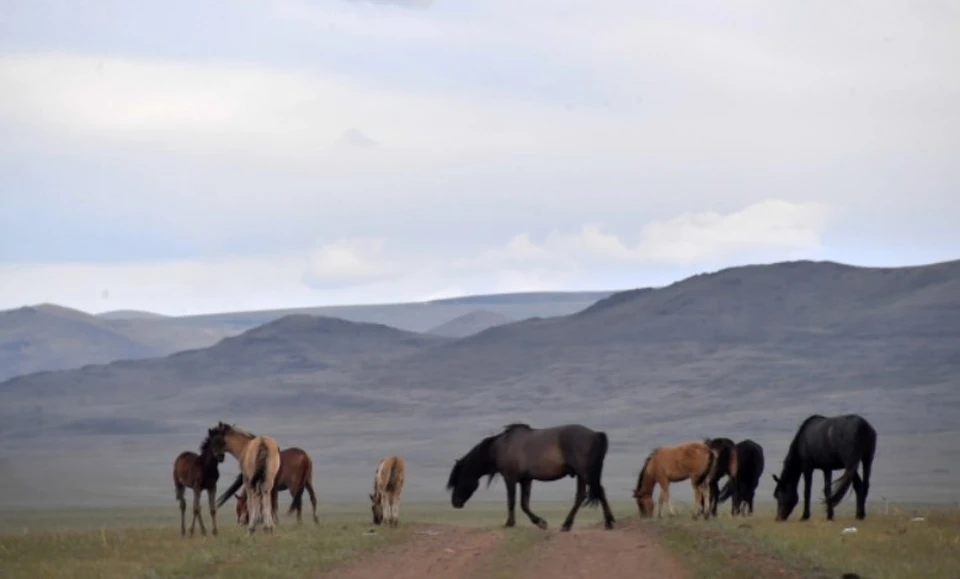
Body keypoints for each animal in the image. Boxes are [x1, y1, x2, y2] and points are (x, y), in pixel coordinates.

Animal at [444, 424, 616, 532]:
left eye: (457, 480)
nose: (455, 503)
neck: (500, 447)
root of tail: (596, 434)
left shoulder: (510, 479)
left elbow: (512, 502)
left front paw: (510, 523)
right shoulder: (526, 480)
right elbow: (524, 504)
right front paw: (540, 523)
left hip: (585, 473)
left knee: (593, 493)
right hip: (583, 475)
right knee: (588, 494)